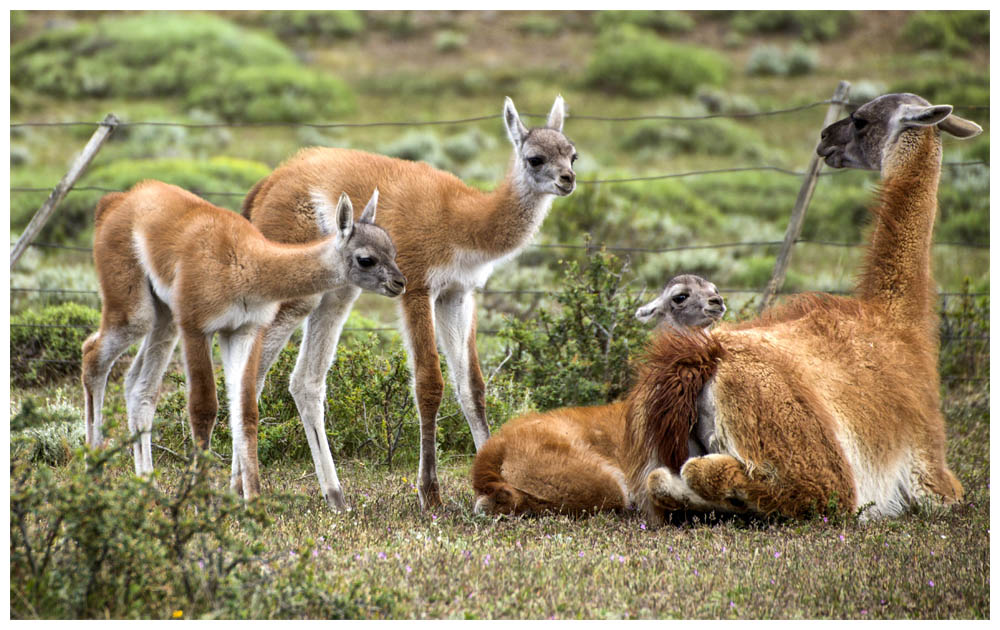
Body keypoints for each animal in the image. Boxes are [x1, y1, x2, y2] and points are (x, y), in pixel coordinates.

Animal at [82, 181, 402, 498]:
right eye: (366, 259)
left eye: (392, 249)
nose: (400, 283)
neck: (247, 264)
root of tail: (117, 200)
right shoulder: (196, 326)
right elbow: (203, 409)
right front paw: (202, 500)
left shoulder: (243, 330)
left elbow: (246, 412)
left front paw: (251, 500)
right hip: (134, 307)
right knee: (92, 354)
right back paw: (93, 472)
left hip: (165, 316)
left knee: (139, 386)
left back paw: (148, 486)